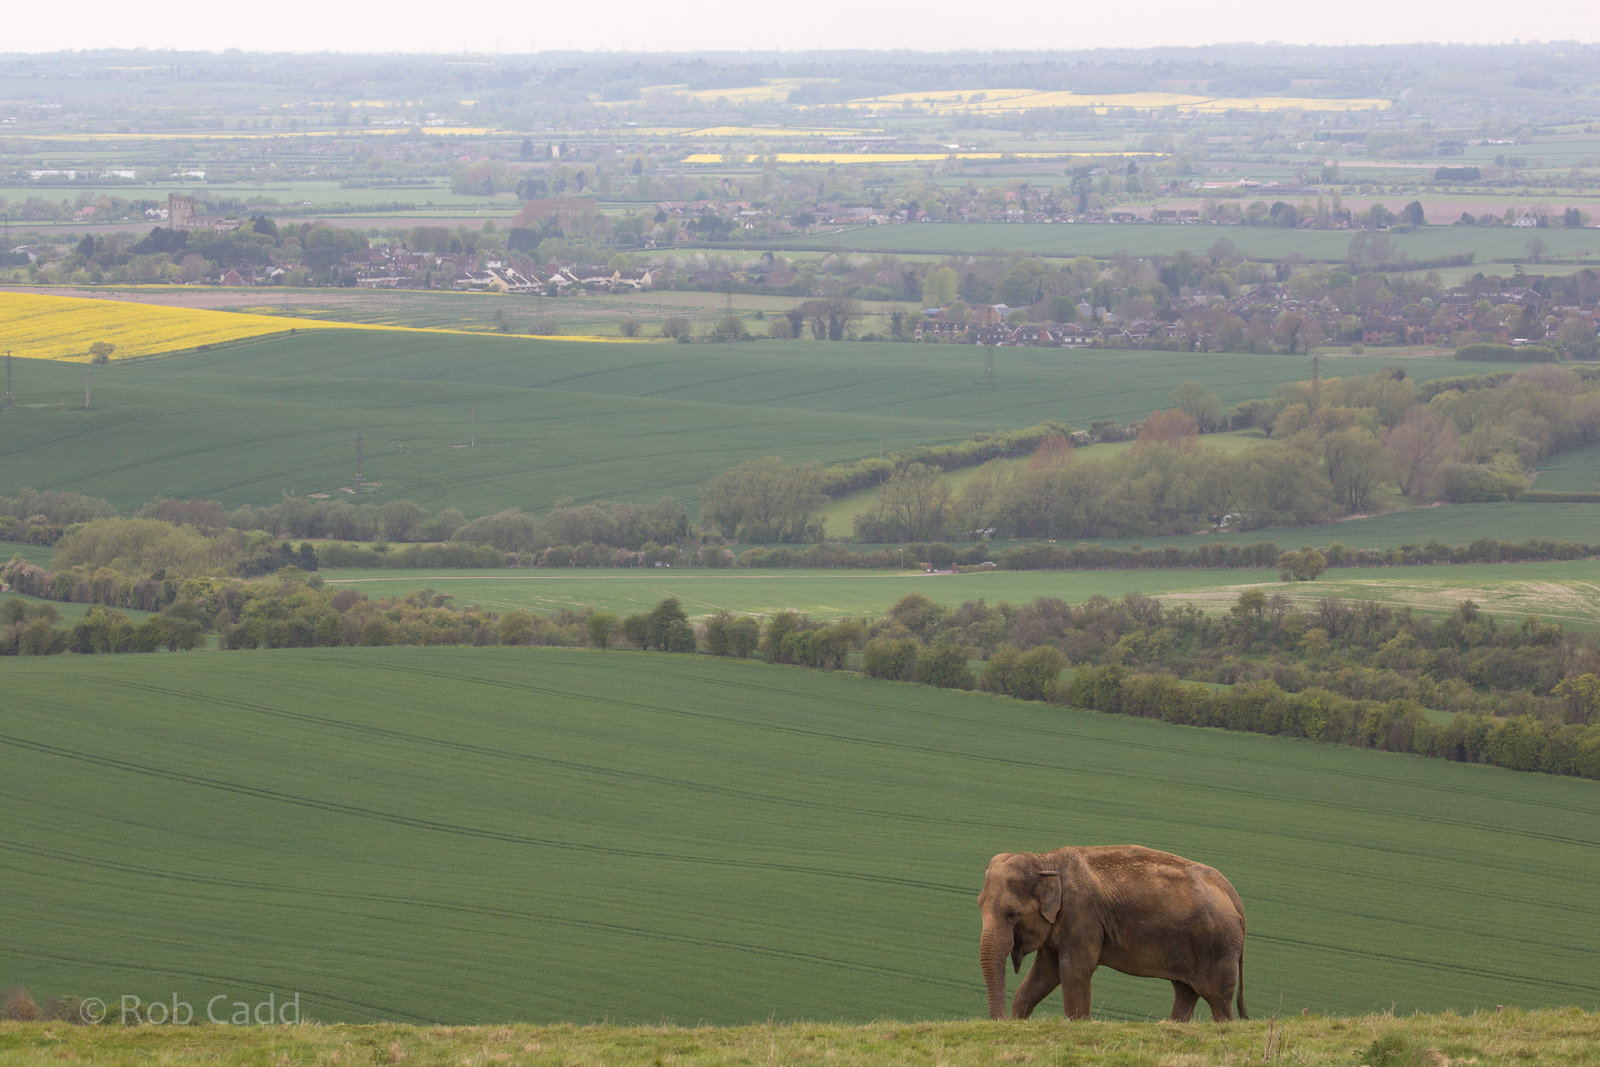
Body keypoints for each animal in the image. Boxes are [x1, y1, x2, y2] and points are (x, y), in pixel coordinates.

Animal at [978, 845, 1247, 1022]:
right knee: (1185, 991)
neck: (1045, 861)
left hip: (1218, 946)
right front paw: (1019, 1021)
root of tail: (1234, 895)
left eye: (1012, 914)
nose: (1003, 1021)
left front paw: (1078, 1024)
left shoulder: (1081, 915)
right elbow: (1046, 972)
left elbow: (1073, 969)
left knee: (1218, 998)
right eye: (979, 904)